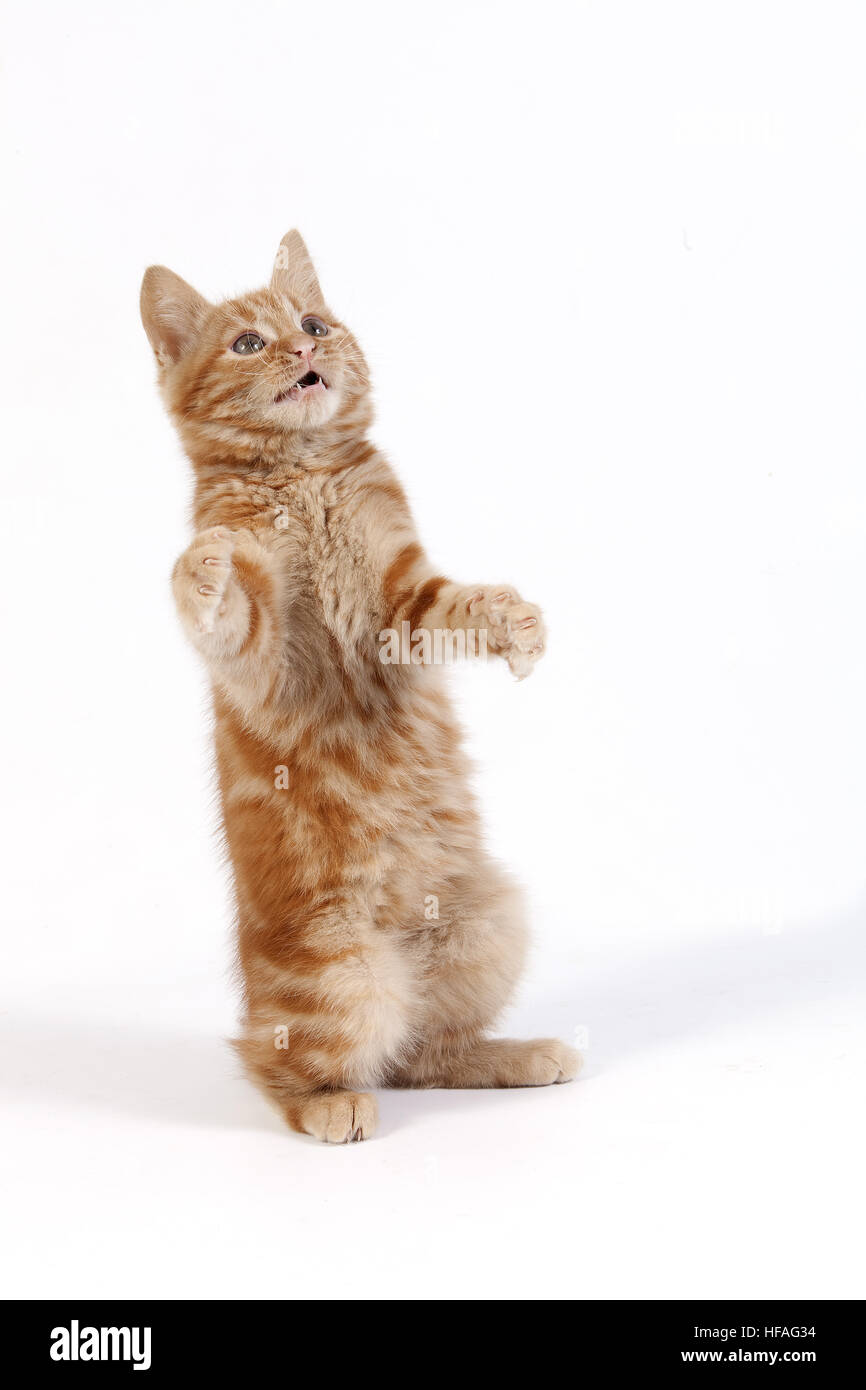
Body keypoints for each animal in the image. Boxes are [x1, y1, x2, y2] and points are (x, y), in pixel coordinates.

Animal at [139, 227, 578, 1139]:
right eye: (248, 343)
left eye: (311, 321)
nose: (307, 348)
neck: (305, 475)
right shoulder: (268, 655)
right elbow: (230, 608)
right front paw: (201, 573)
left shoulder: (404, 604)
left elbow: (464, 605)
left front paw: (518, 623)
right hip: (342, 974)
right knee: (280, 1062)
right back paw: (330, 1105)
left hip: (488, 924)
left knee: (423, 1053)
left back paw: (515, 1055)